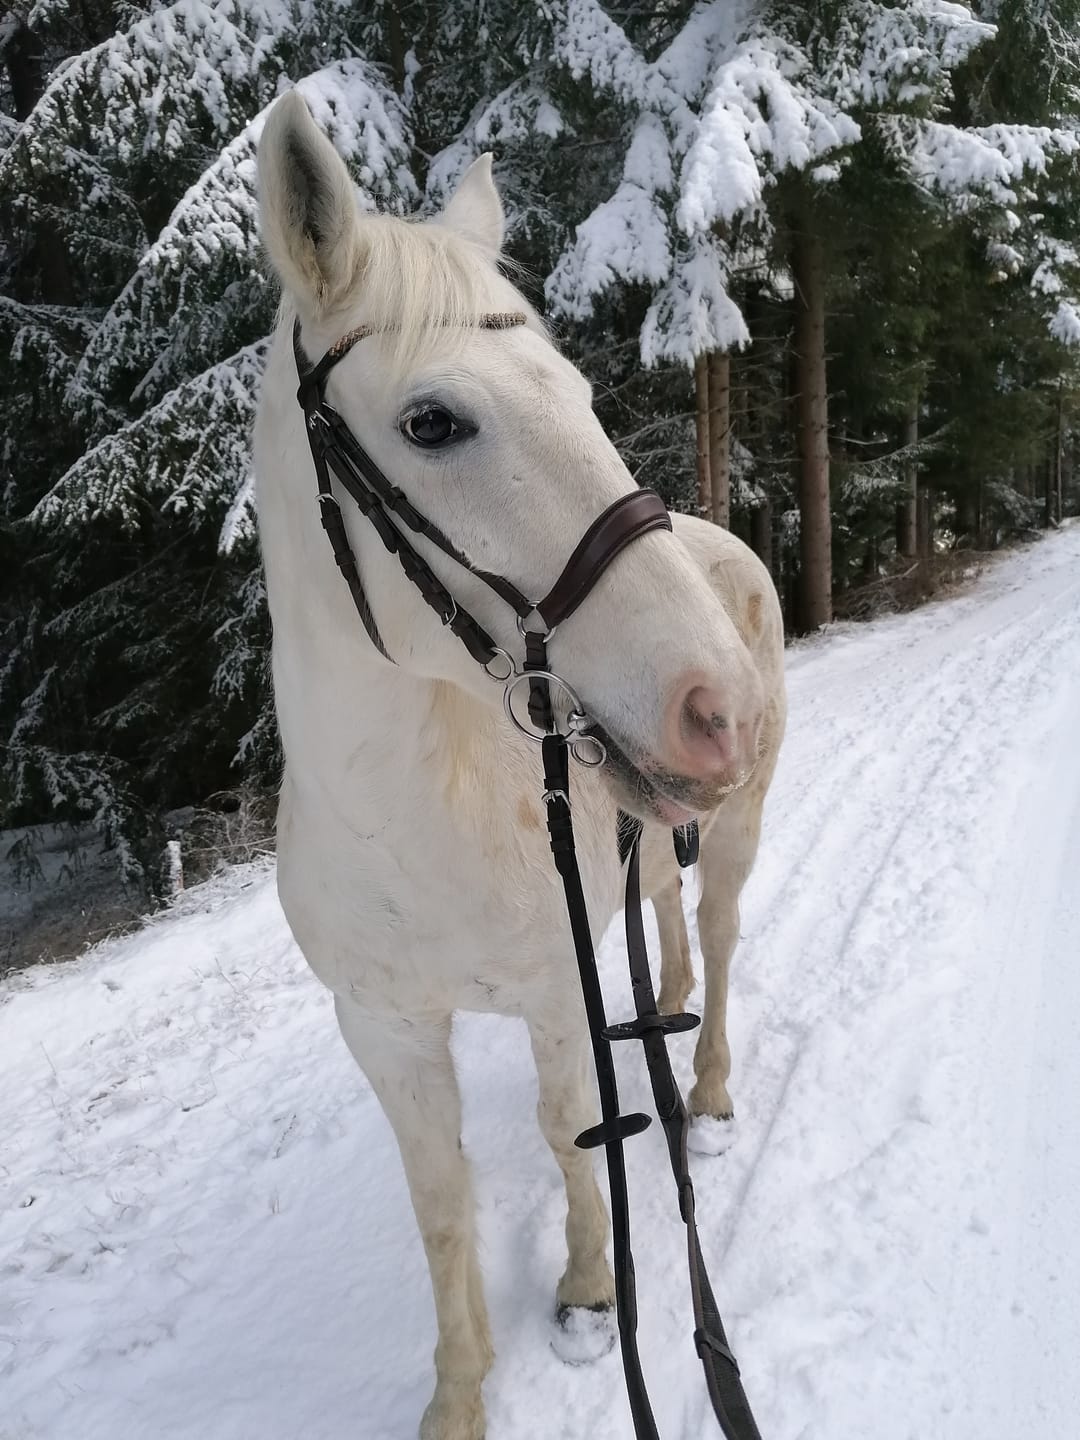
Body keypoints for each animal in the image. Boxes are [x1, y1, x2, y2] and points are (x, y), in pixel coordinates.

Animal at [253, 90, 786, 1440]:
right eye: (432, 421)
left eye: (580, 393)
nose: (721, 703)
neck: (405, 820)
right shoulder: (385, 1029)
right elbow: (439, 1203)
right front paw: (457, 1397)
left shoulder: (554, 986)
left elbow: (572, 1127)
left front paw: (593, 1290)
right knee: (666, 921)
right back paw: (665, 999)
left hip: (734, 831)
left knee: (721, 931)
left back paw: (706, 1091)